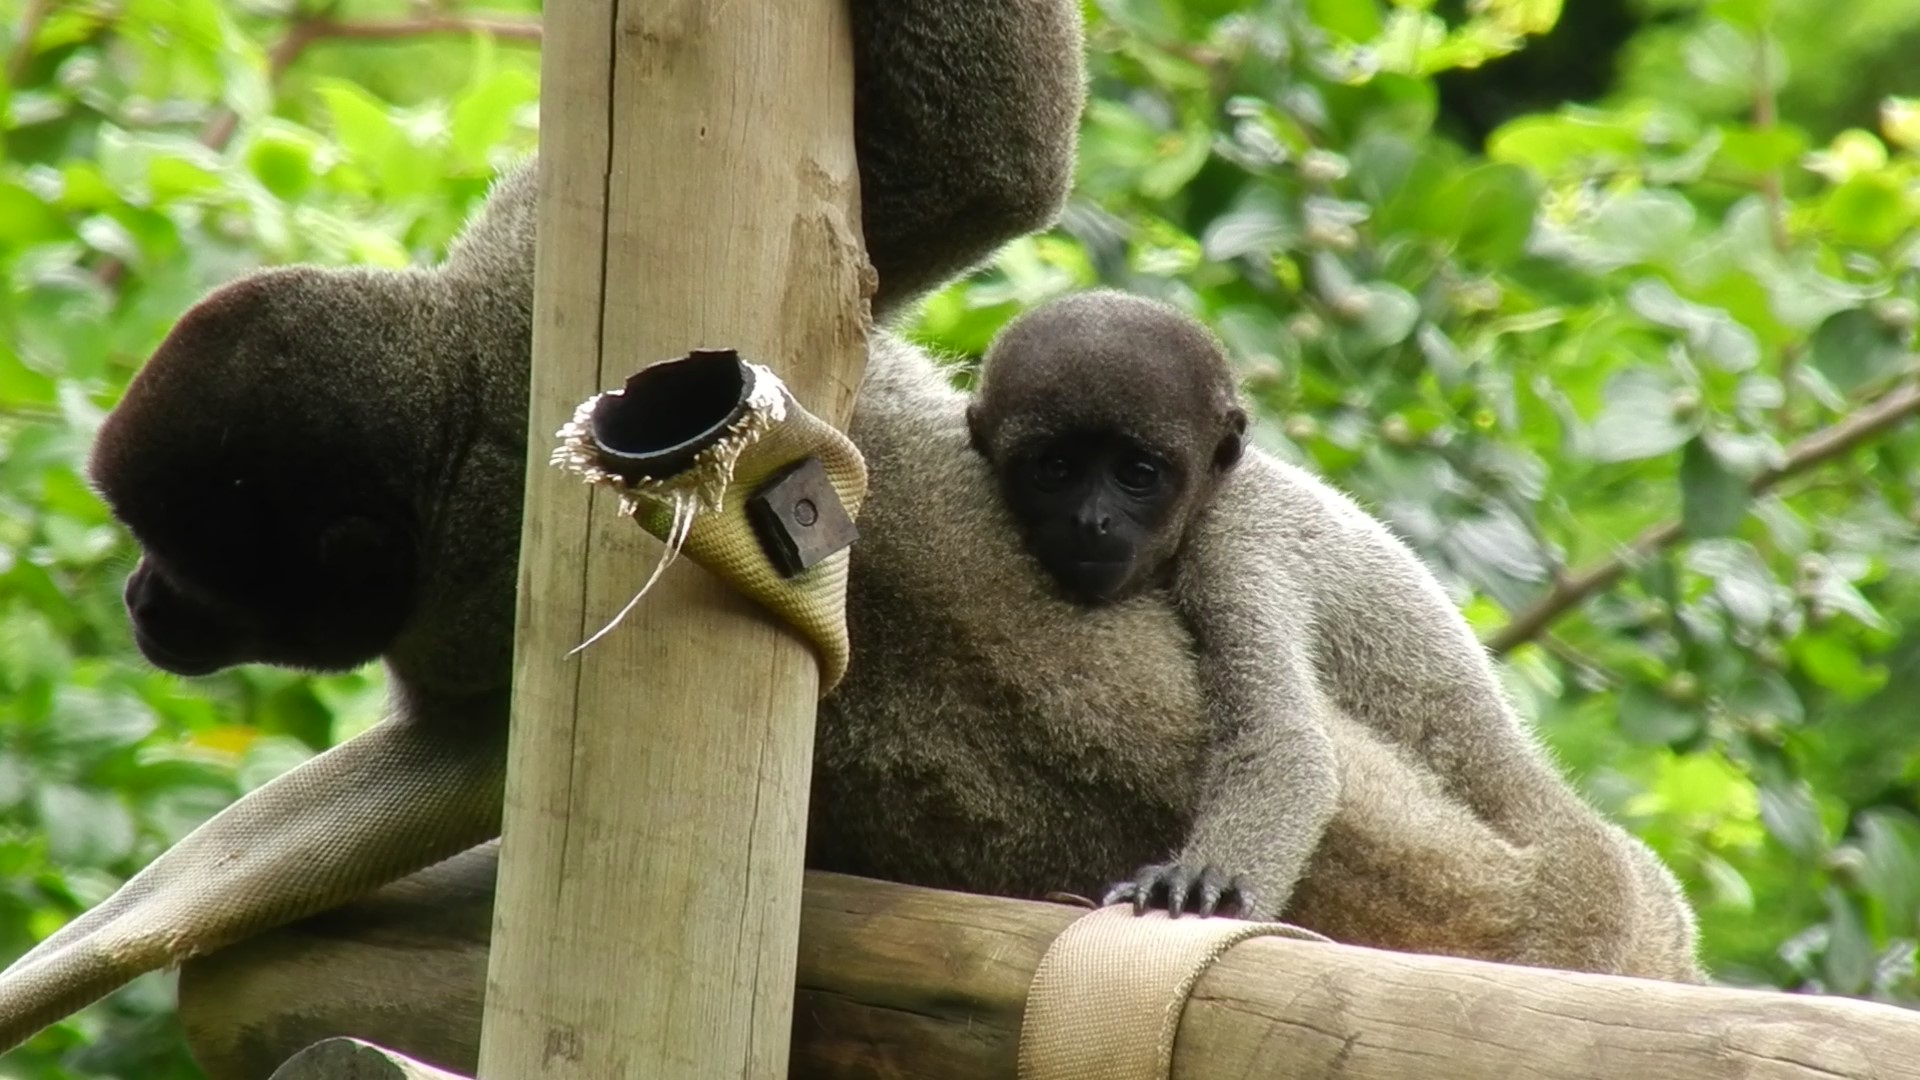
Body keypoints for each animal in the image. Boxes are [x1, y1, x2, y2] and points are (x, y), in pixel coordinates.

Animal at [0, 0, 1088, 1051]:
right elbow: (970, 174)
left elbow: (974, 169)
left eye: (190, 576)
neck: (459, 415)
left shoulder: (464, 545)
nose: (141, 601)